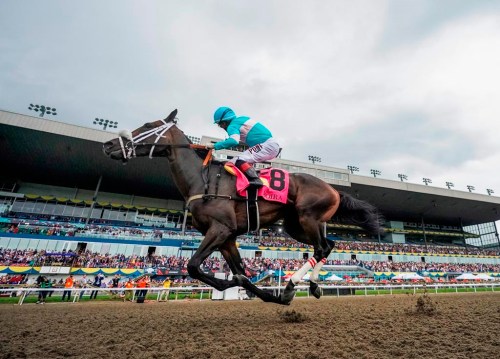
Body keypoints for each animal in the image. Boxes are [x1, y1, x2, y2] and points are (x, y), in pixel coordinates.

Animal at [101, 108, 382, 306]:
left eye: (148, 126)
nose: (109, 145)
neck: (202, 180)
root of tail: (334, 189)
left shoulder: (220, 230)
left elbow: (193, 266)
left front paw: (243, 286)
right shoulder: (227, 238)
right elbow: (241, 273)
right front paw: (271, 296)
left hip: (308, 217)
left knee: (322, 247)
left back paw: (293, 283)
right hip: (296, 225)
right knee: (326, 246)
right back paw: (312, 286)